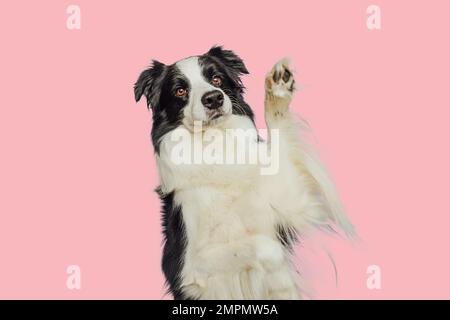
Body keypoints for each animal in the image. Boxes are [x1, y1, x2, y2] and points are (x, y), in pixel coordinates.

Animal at [134, 46, 356, 298]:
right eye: (180, 90)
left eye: (216, 78)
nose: (214, 98)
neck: (216, 144)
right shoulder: (189, 268)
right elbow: (266, 247)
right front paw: (282, 280)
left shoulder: (291, 201)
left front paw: (278, 89)